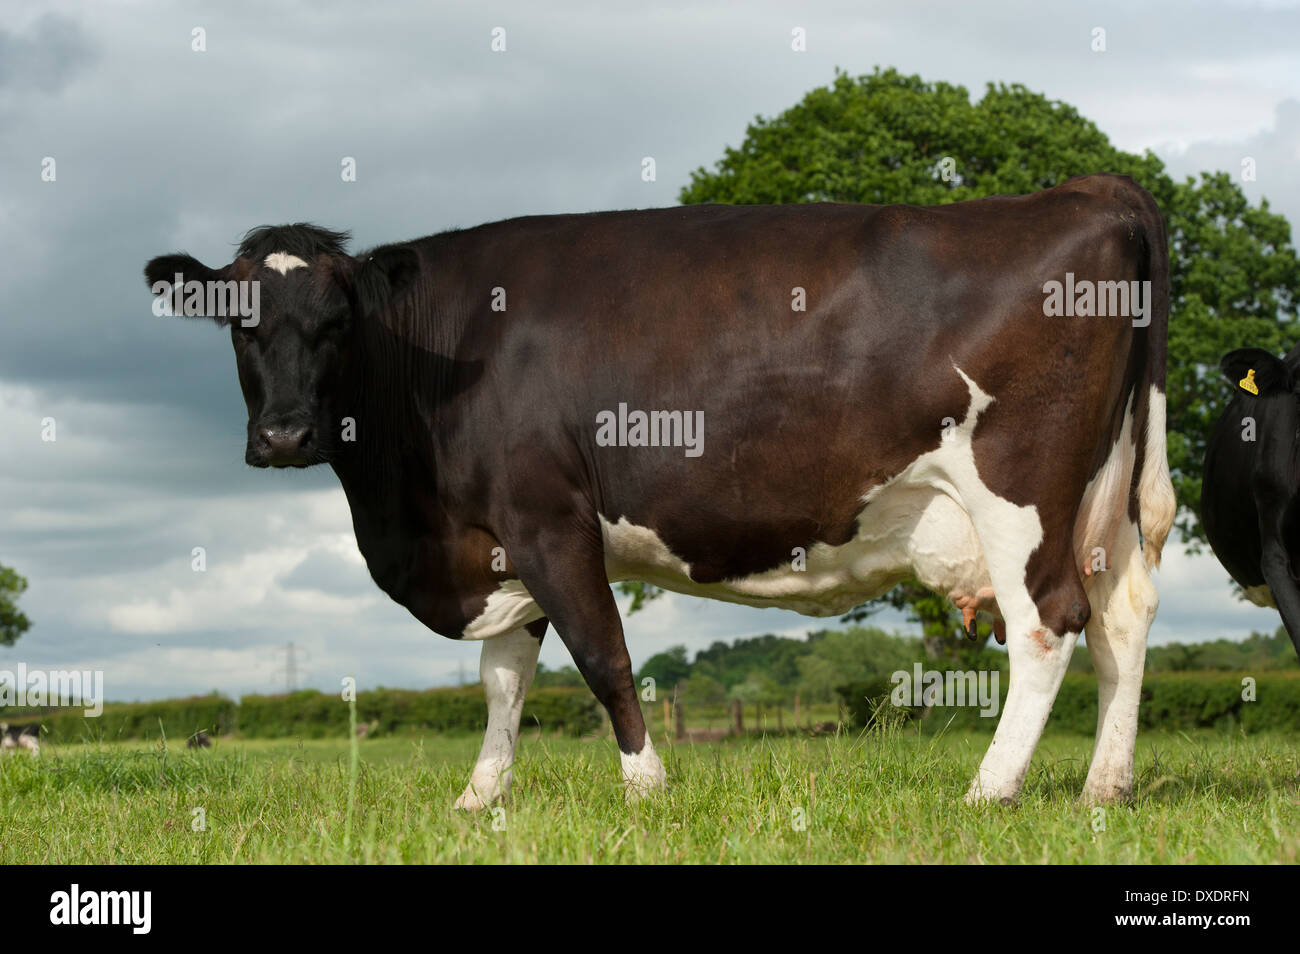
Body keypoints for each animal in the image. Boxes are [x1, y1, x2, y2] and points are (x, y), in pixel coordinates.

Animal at [145, 173, 1175, 807]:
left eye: (338, 324)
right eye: (238, 325)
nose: (285, 435)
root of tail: (1090, 190)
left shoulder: (548, 518)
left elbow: (603, 656)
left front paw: (647, 790)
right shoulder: (498, 537)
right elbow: (504, 680)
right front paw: (479, 798)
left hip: (1019, 489)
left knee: (1048, 624)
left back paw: (987, 791)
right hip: (1107, 499)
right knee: (1122, 618)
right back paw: (1106, 788)